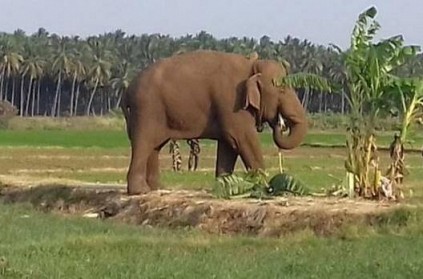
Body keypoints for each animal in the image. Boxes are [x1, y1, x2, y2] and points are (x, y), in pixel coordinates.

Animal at [121, 49, 310, 195]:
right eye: (282, 89)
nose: (279, 123)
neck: (252, 65)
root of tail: (127, 90)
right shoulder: (232, 102)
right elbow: (242, 138)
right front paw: (266, 188)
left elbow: (229, 145)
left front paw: (223, 187)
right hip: (147, 109)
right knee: (144, 143)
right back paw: (140, 191)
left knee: (155, 146)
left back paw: (157, 188)